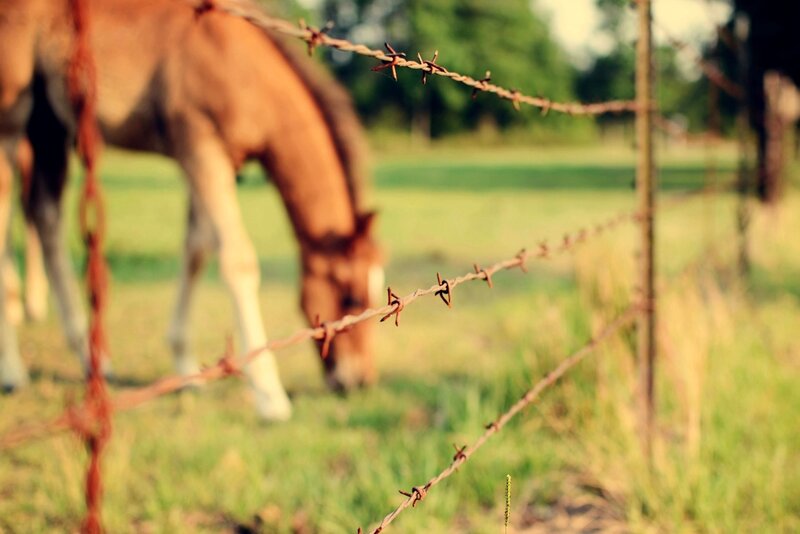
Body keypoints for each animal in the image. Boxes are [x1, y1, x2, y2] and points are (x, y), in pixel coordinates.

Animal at [0, 0, 384, 421]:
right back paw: (13, 371)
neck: (241, 68)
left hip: (49, 125)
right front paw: (269, 395)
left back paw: (92, 360)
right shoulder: (201, 148)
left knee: (45, 216)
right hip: (13, 115)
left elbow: (197, 248)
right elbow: (237, 260)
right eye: (351, 299)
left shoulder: (217, 163)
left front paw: (187, 371)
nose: (359, 381)